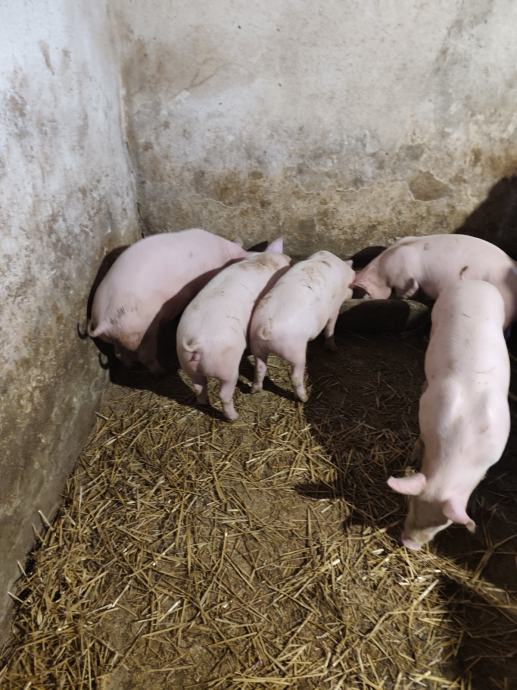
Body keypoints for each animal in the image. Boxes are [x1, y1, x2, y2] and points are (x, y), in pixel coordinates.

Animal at [88, 229, 249, 373]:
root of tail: (104, 321)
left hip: (117, 335)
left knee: (120, 354)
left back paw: (131, 367)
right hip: (143, 332)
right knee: (145, 356)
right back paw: (163, 371)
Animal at [176, 239, 289, 420]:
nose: (291, 260)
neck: (265, 259)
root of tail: (196, 342)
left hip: (187, 362)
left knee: (199, 386)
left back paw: (204, 404)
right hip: (227, 367)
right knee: (224, 393)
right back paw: (234, 417)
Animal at [249, 251, 355, 402]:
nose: (353, 293)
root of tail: (266, 329)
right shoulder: (334, 308)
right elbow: (330, 326)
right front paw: (334, 349)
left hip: (257, 346)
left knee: (259, 368)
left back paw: (254, 390)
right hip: (296, 352)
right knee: (295, 376)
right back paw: (304, 398)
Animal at [388, 279, 510, 550]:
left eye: (444, 524)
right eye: (413, 503)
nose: (409, 544)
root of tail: (476, 282)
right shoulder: (426, 408)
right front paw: (414, 455)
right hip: (438, 314)